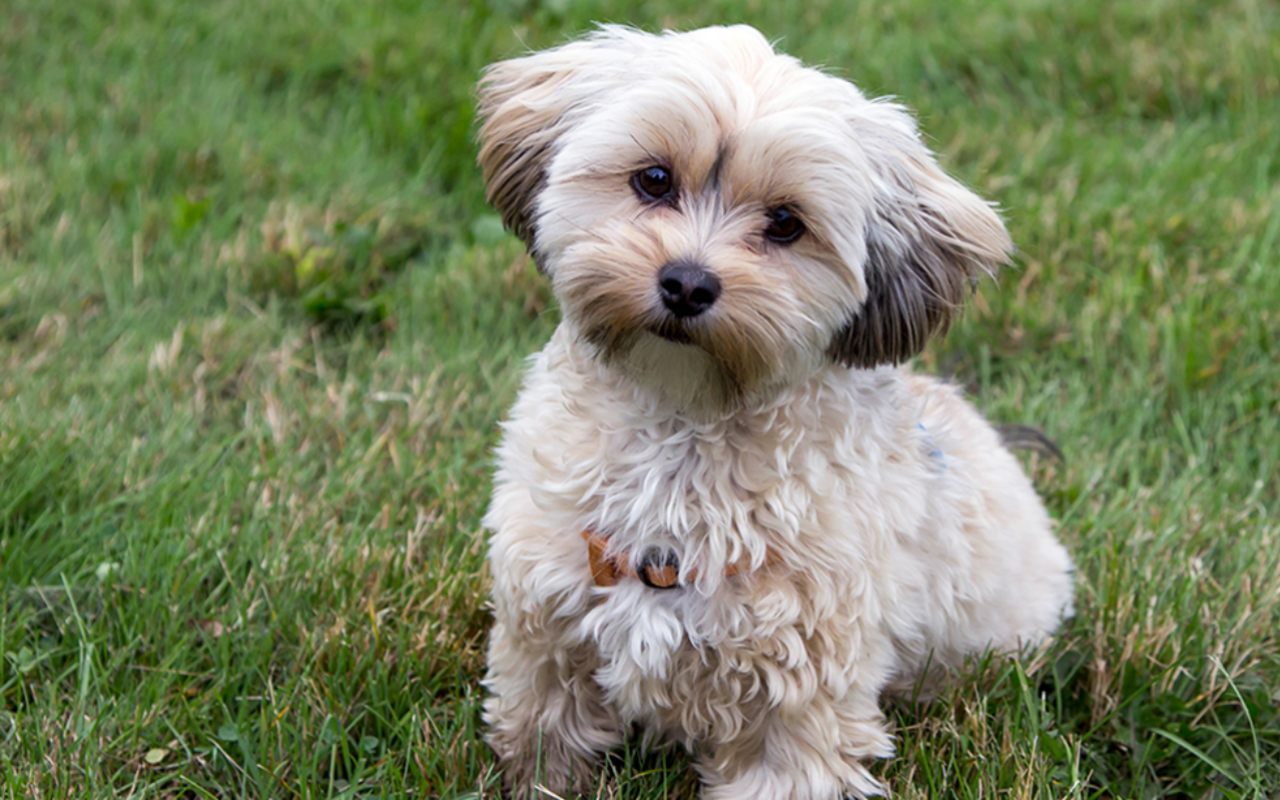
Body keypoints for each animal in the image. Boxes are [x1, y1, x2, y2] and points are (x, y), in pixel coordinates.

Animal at [471, 24, 1070, 798]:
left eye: (786, 223)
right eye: (654, 179)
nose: (687, 283)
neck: (683, 426)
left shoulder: (797, 698)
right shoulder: (544, 630)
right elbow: (543, 736)